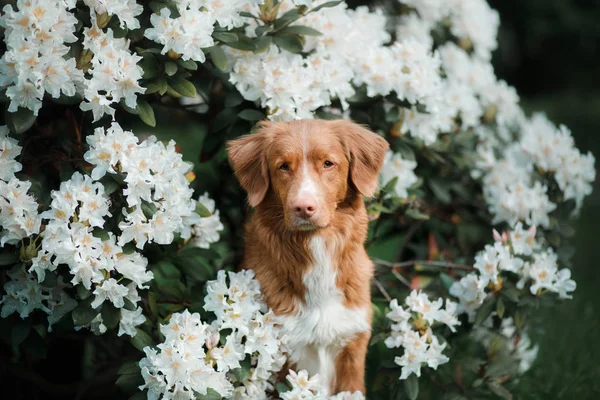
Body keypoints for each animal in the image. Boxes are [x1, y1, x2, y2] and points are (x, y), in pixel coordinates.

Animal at [226, 119, 390, 394]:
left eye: (328, 163)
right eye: (283, 166)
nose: (303, 208)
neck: (316, 247)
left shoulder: (352, 350)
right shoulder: (281, 355)